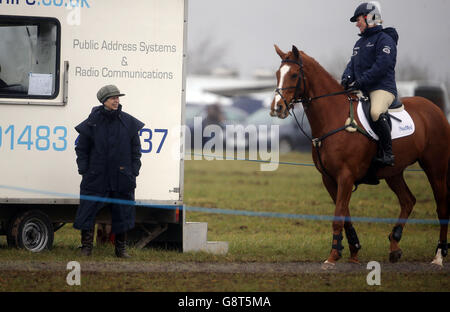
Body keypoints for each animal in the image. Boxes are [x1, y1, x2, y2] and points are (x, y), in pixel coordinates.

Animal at [270, 45, 450, 270]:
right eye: (278, 74)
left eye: (294, 75)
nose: (277, 108)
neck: (334, 117)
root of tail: (435, 108)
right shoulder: (330, 179)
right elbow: (345, 215)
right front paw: (352, 250)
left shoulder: (345, 177)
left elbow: (339, 216)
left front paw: (332, 257)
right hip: (394, 172)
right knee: (408, 200)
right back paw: (394, 245)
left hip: (436, 169)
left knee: (441, 208)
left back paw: (438, 256)